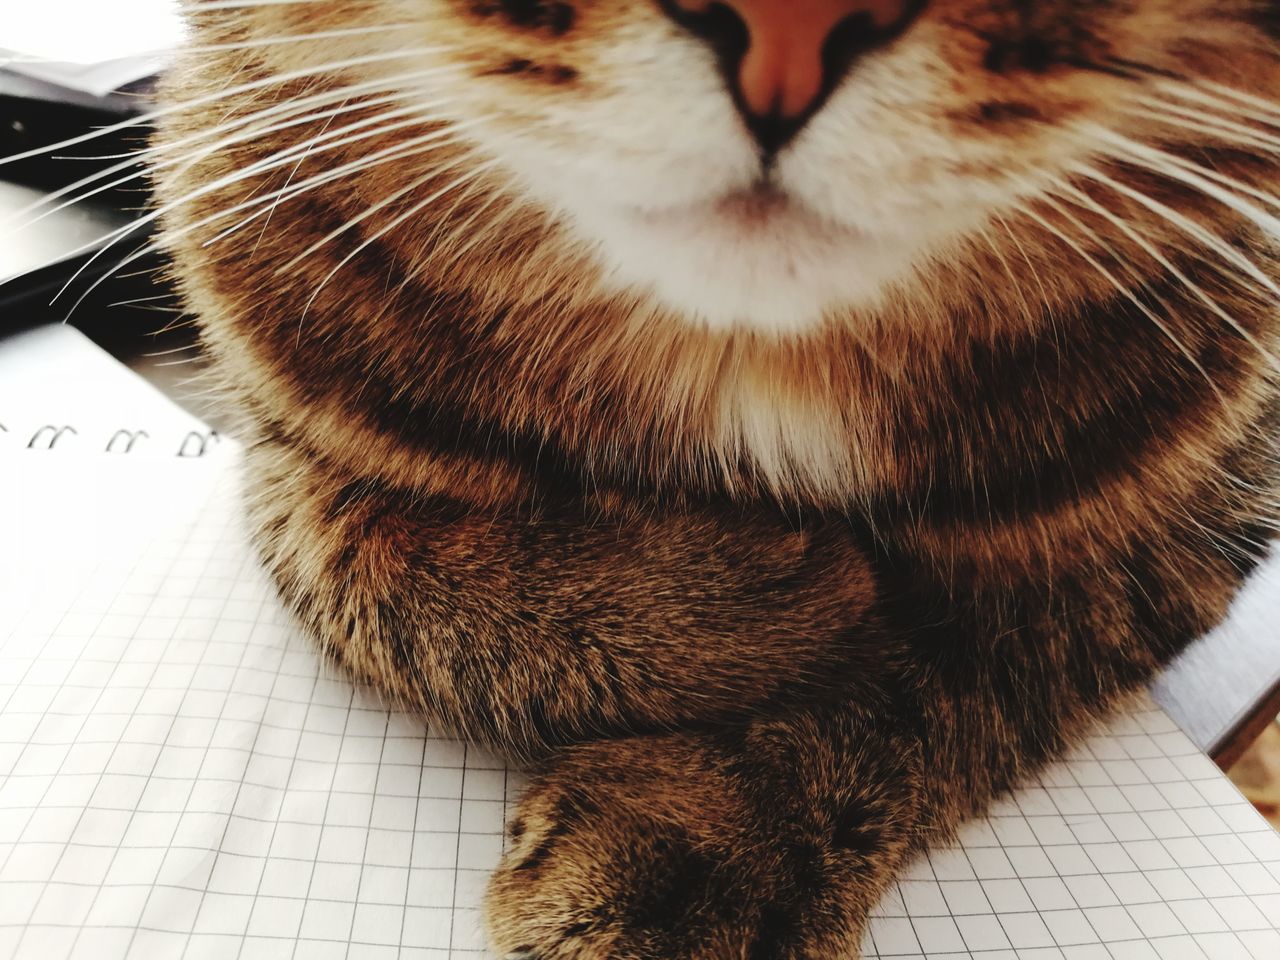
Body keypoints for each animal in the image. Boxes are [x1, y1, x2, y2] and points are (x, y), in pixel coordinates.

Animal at [152, 0, 1280, 957]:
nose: (788, 32)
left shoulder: (1205, 500)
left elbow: (980, 655)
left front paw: (723, 827)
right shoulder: (276, 422)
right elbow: (366, 574)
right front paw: (768, 591)